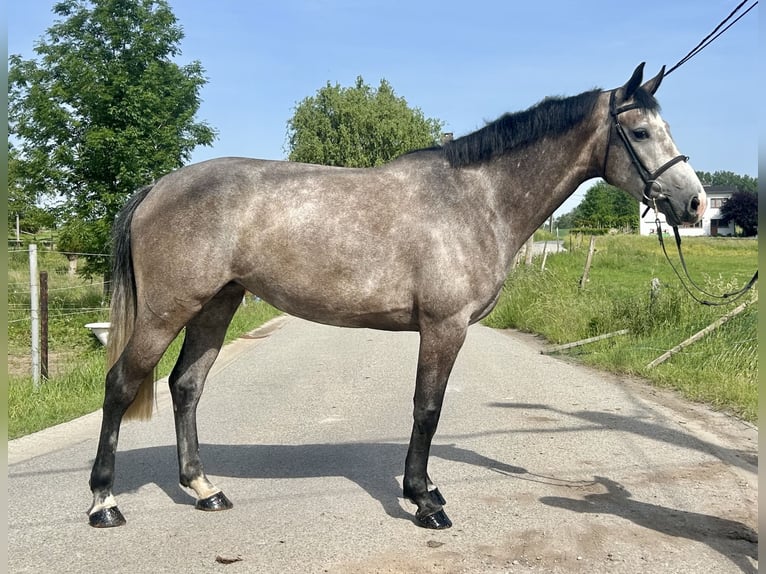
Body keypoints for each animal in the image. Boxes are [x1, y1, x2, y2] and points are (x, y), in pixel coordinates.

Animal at [88, 63, 706, 529]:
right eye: (642, 133)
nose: (695, 203)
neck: (476, 198)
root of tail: (157, 186)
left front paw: (426, 489)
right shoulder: (443, 326)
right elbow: (427, 409)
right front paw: (424, 500)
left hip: (217, 304)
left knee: (186, 386)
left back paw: (204, 489)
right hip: (168, 310)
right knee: (120, 384)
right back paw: (104, 503)